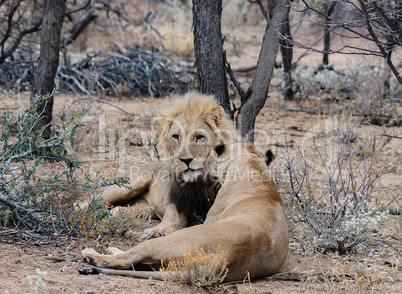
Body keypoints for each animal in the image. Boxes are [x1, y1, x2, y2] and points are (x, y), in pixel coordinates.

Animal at [81, 142, 288, 282]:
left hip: (164, 243)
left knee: (127, 259)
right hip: (131, 186)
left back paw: (92, 254)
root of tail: (222, 259)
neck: (254, 167)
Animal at [98, 92, 239, 239]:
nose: (186, 160)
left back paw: (118, 211)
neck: (200, 181)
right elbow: (170, 217)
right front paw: (156, 230)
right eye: (176, 136)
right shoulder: (176, 200)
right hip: (129, 184)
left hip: (144, 207)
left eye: (199, 137)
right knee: (96, 199)